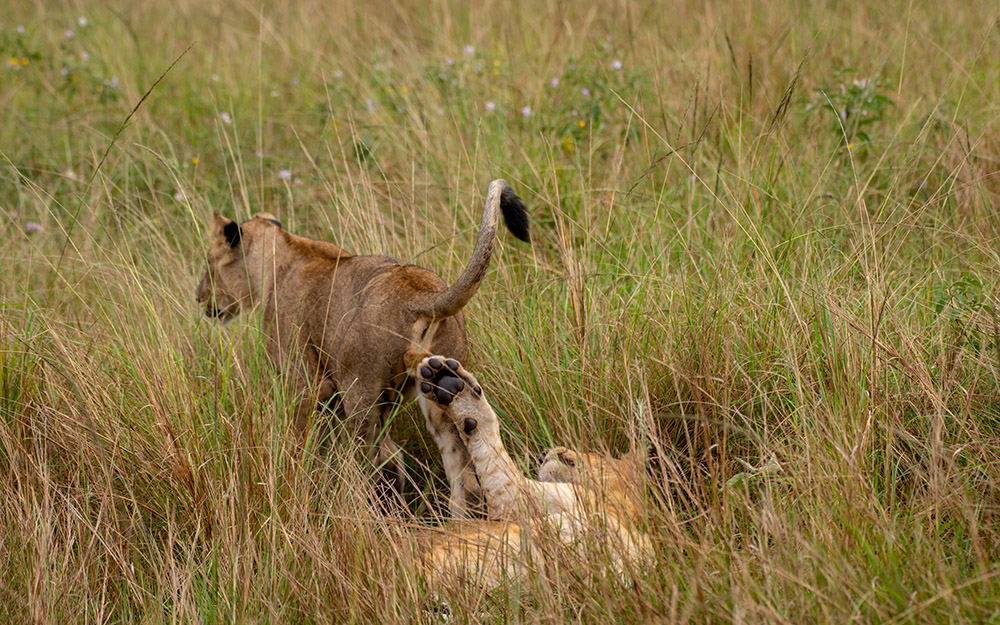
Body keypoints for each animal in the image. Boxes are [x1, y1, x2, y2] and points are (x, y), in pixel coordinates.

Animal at [196, 180, 529, 516]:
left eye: (209, 262)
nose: (199, 298)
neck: (284, 253)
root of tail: (420, 293)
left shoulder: (304, 383)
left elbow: (302, 441)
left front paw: (296, 478)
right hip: (439, 387)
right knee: (461, 470)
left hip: (360, 391)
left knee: (377, 459)